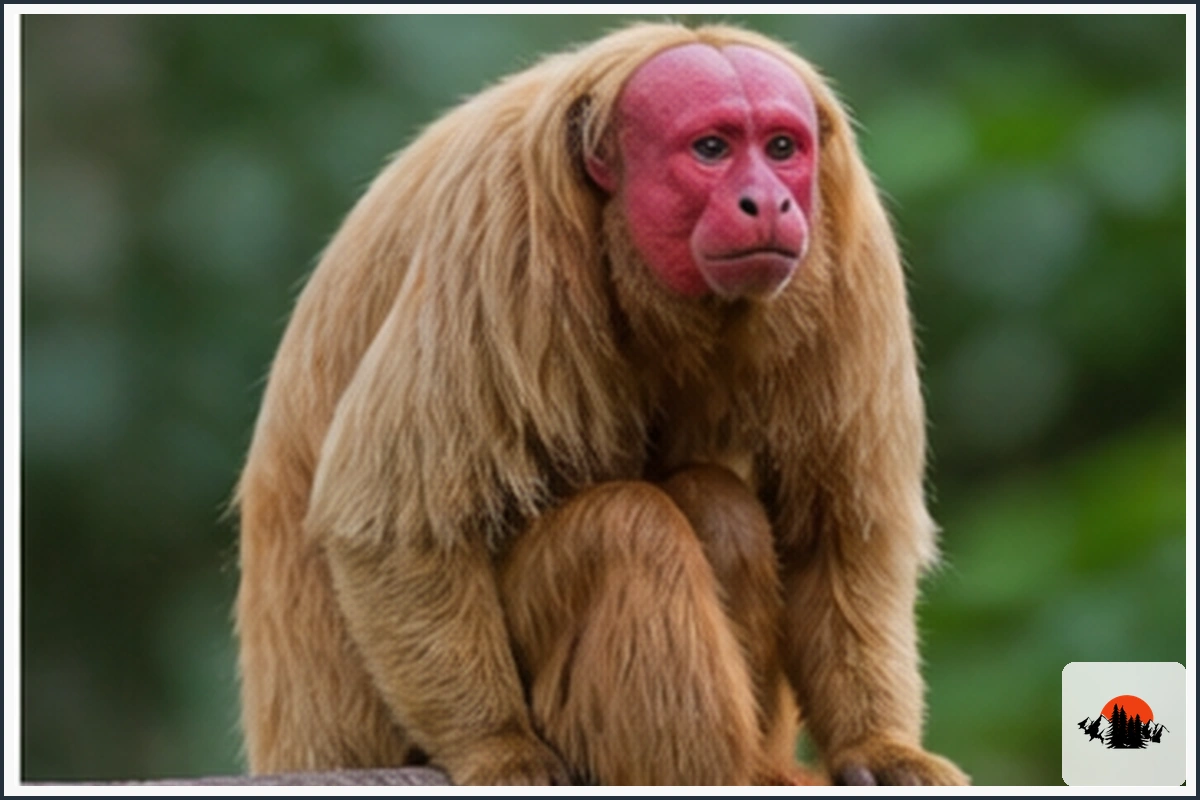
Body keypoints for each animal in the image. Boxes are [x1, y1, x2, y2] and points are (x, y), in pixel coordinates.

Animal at [234, 22, 969, 786]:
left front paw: (875, 744)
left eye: (781, 149)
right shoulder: (498, 224)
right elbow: (395, 525)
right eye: (713, 149)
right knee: (624, 529)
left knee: (717, 510)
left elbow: (837, 533)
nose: (768, 202)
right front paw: (497, 745)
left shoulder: (851, 248)